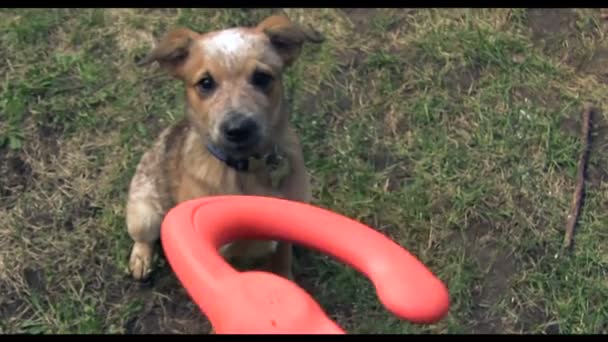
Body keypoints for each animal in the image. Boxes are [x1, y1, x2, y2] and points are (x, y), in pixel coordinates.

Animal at [124, 14, 324, 282]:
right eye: (205, 83)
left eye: (262, 77)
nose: (238, 128)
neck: (247, 171)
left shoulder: (287, 229)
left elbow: (283, 261)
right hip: (144, 214)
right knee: (143, 238)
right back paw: (141, 259)